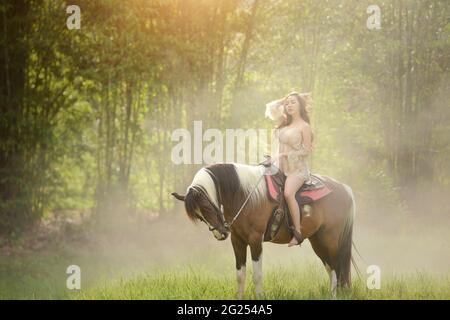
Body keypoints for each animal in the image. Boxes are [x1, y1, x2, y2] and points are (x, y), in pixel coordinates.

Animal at [171, 161, 356, 298]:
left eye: (206, 207)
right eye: (199, 216)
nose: (220, 234)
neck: (245, 194)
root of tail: (344, 189)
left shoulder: (255, 240)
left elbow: (257, 276)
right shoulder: (237, 241)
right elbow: (240, 276)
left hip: (330, 239)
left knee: (337, 268)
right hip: (317, 240)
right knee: (331, 269)